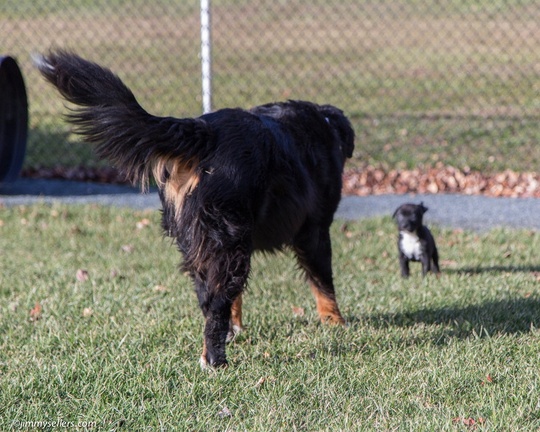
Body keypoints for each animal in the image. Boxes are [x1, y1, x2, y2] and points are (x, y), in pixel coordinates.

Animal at [37, 49, 354, 368]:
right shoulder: (314, 231)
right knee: (217, 302)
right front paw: (335, 322)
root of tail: (205, 131)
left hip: (202, 240)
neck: (324, 124)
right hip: (229, 242)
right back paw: (215, 359)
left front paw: (237, 326)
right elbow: (323, 281)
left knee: (210, 297)